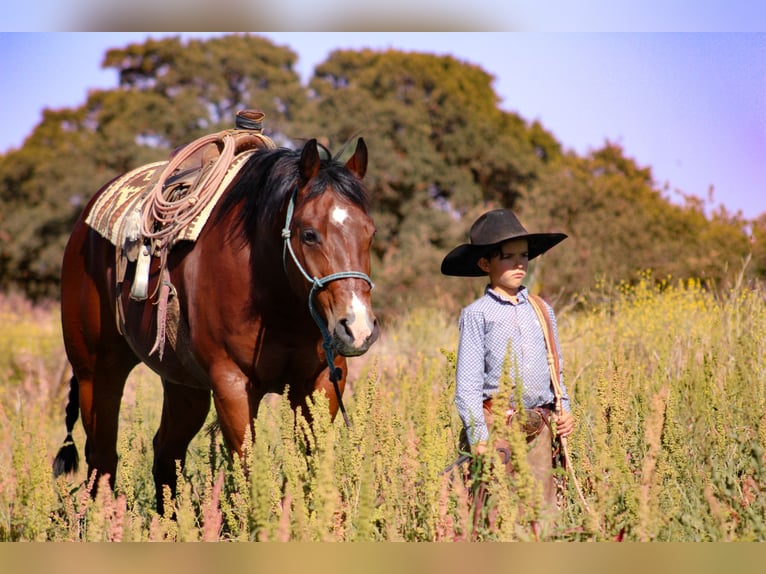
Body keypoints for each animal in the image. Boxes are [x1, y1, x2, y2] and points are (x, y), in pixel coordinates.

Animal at [51, 137, 380, 516]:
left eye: (370, 233)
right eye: (309, 234)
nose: (357, 327)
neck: (274, 298)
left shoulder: (321, 381)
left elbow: (311, 470)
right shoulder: (231, 384)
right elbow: (250, 473)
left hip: (184, 387)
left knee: (165, 454)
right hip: (97, 373)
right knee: (102, 460)